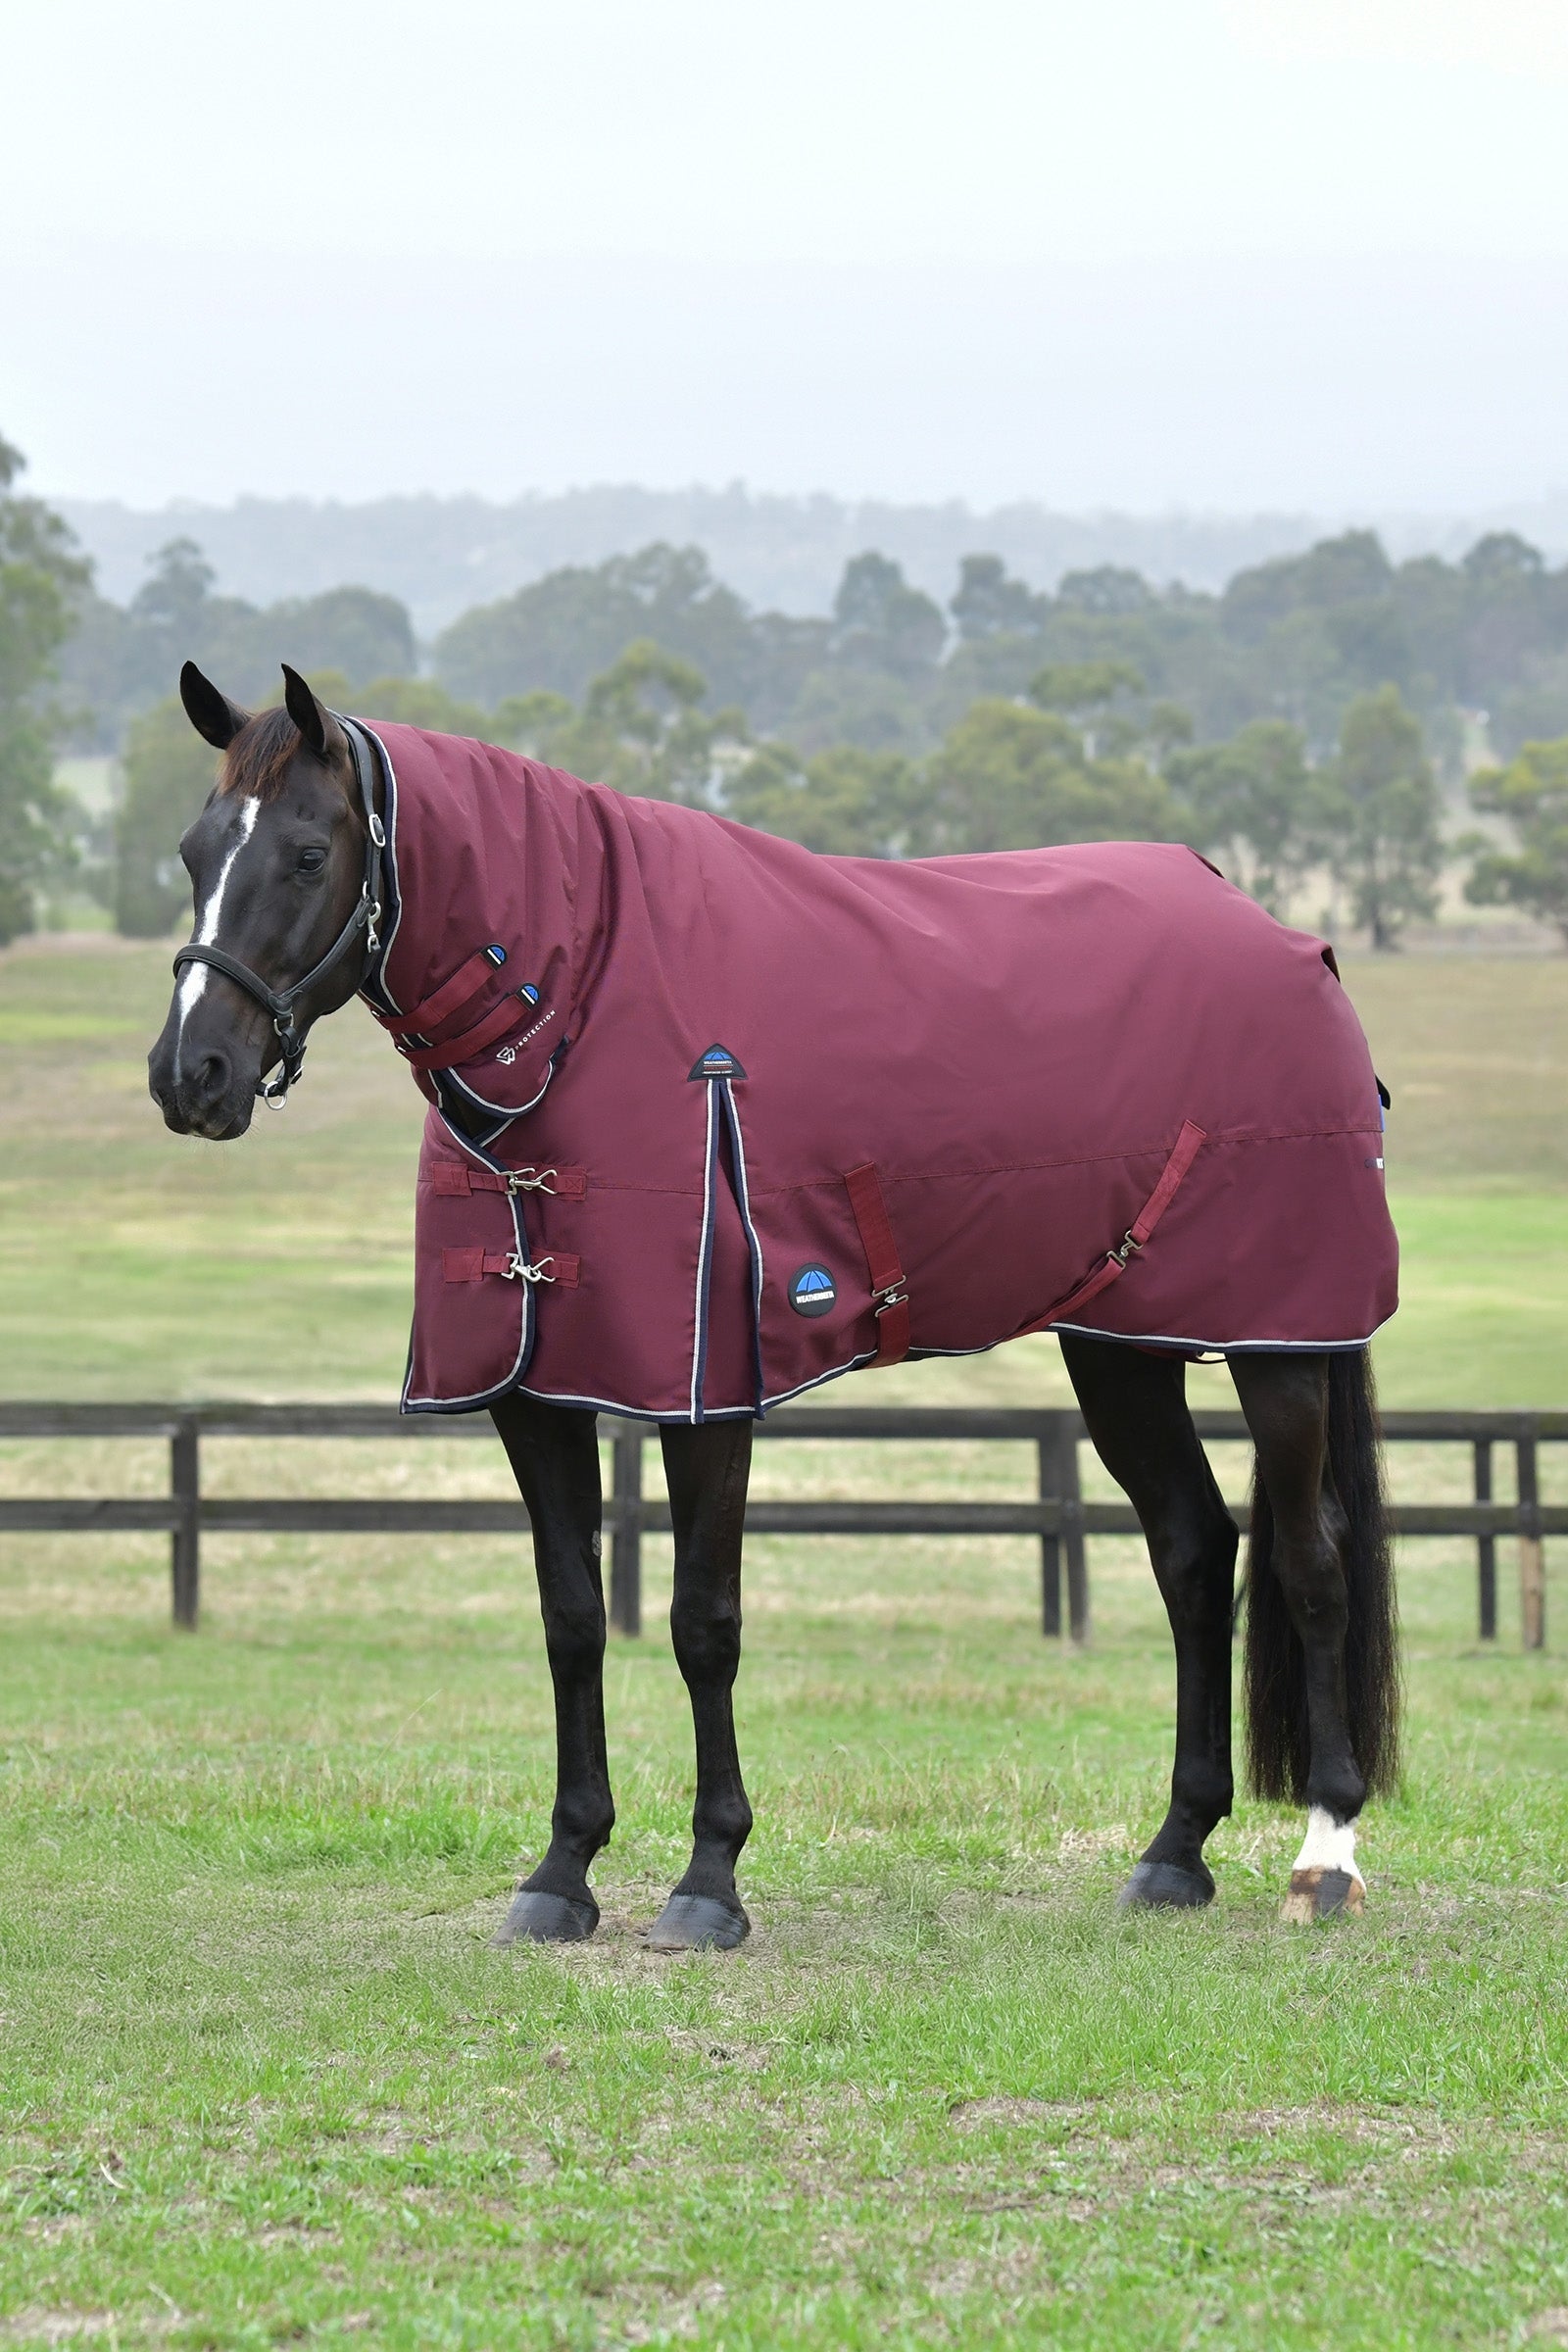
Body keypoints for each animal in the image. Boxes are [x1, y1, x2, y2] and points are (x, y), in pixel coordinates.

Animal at [147, 661, 1401, 1950]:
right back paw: (1173, 1853)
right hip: (1119, 1345)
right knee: (1194, 1554)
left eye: (306, 854)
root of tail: (1283, 937)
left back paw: (1325, 1855)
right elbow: (573, 1618)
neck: (581, 1005)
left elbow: (704, 1623)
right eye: (194, 851)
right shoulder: (534, 1392)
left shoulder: (708, 1396)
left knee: (1310, 1562)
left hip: (1277, 1340)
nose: (190, 1074)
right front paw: (561, 1871)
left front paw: (708, 1879)